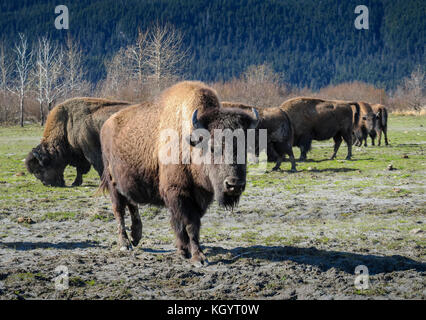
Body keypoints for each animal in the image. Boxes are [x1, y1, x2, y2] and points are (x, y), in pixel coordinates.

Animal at [99, 81, 260, 266]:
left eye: (244, 149)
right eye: (213, 147)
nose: (234, 185)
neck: (191, 144)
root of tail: (106, 125)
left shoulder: (200, 197)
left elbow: (190, 225)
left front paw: (185, 250)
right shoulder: (178, 193)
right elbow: (188, 224)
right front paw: (198, 257)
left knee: (131, 204)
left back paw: (136, 237)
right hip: (113, 183)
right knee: (119, 209)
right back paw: (125, 244)